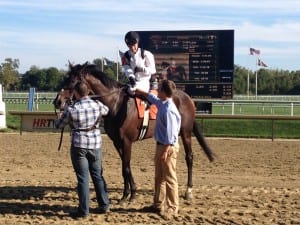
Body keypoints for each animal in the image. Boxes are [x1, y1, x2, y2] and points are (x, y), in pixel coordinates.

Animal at [53, 62, 213, 204]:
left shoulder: (126, 141)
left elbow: (126, 167)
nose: (57, 101)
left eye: (72, 81)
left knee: (189, 158)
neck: (116, 104)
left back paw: (188, 191)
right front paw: (130, 193)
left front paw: (128, 196)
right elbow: (126, 167)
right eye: (65, 78)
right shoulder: (117, 141)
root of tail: (187, 97)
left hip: (186, 132)